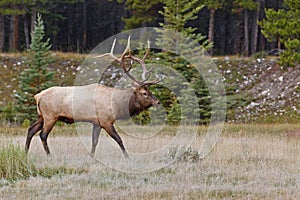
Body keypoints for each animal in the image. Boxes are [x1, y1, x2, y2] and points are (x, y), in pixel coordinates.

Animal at [25, 36, 162, 158]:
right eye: (144, 93)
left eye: (149, 91)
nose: (158, 102)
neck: (116, 105)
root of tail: (38, 96)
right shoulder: (106, 121)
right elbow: (119, 139)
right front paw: (128, 157)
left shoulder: (96, 123)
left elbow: (94, 142)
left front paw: (91, 157)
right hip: (50, 116)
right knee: (43, 134)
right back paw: (49, 156)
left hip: (41, 116)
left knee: (31, 130)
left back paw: (25, 152)